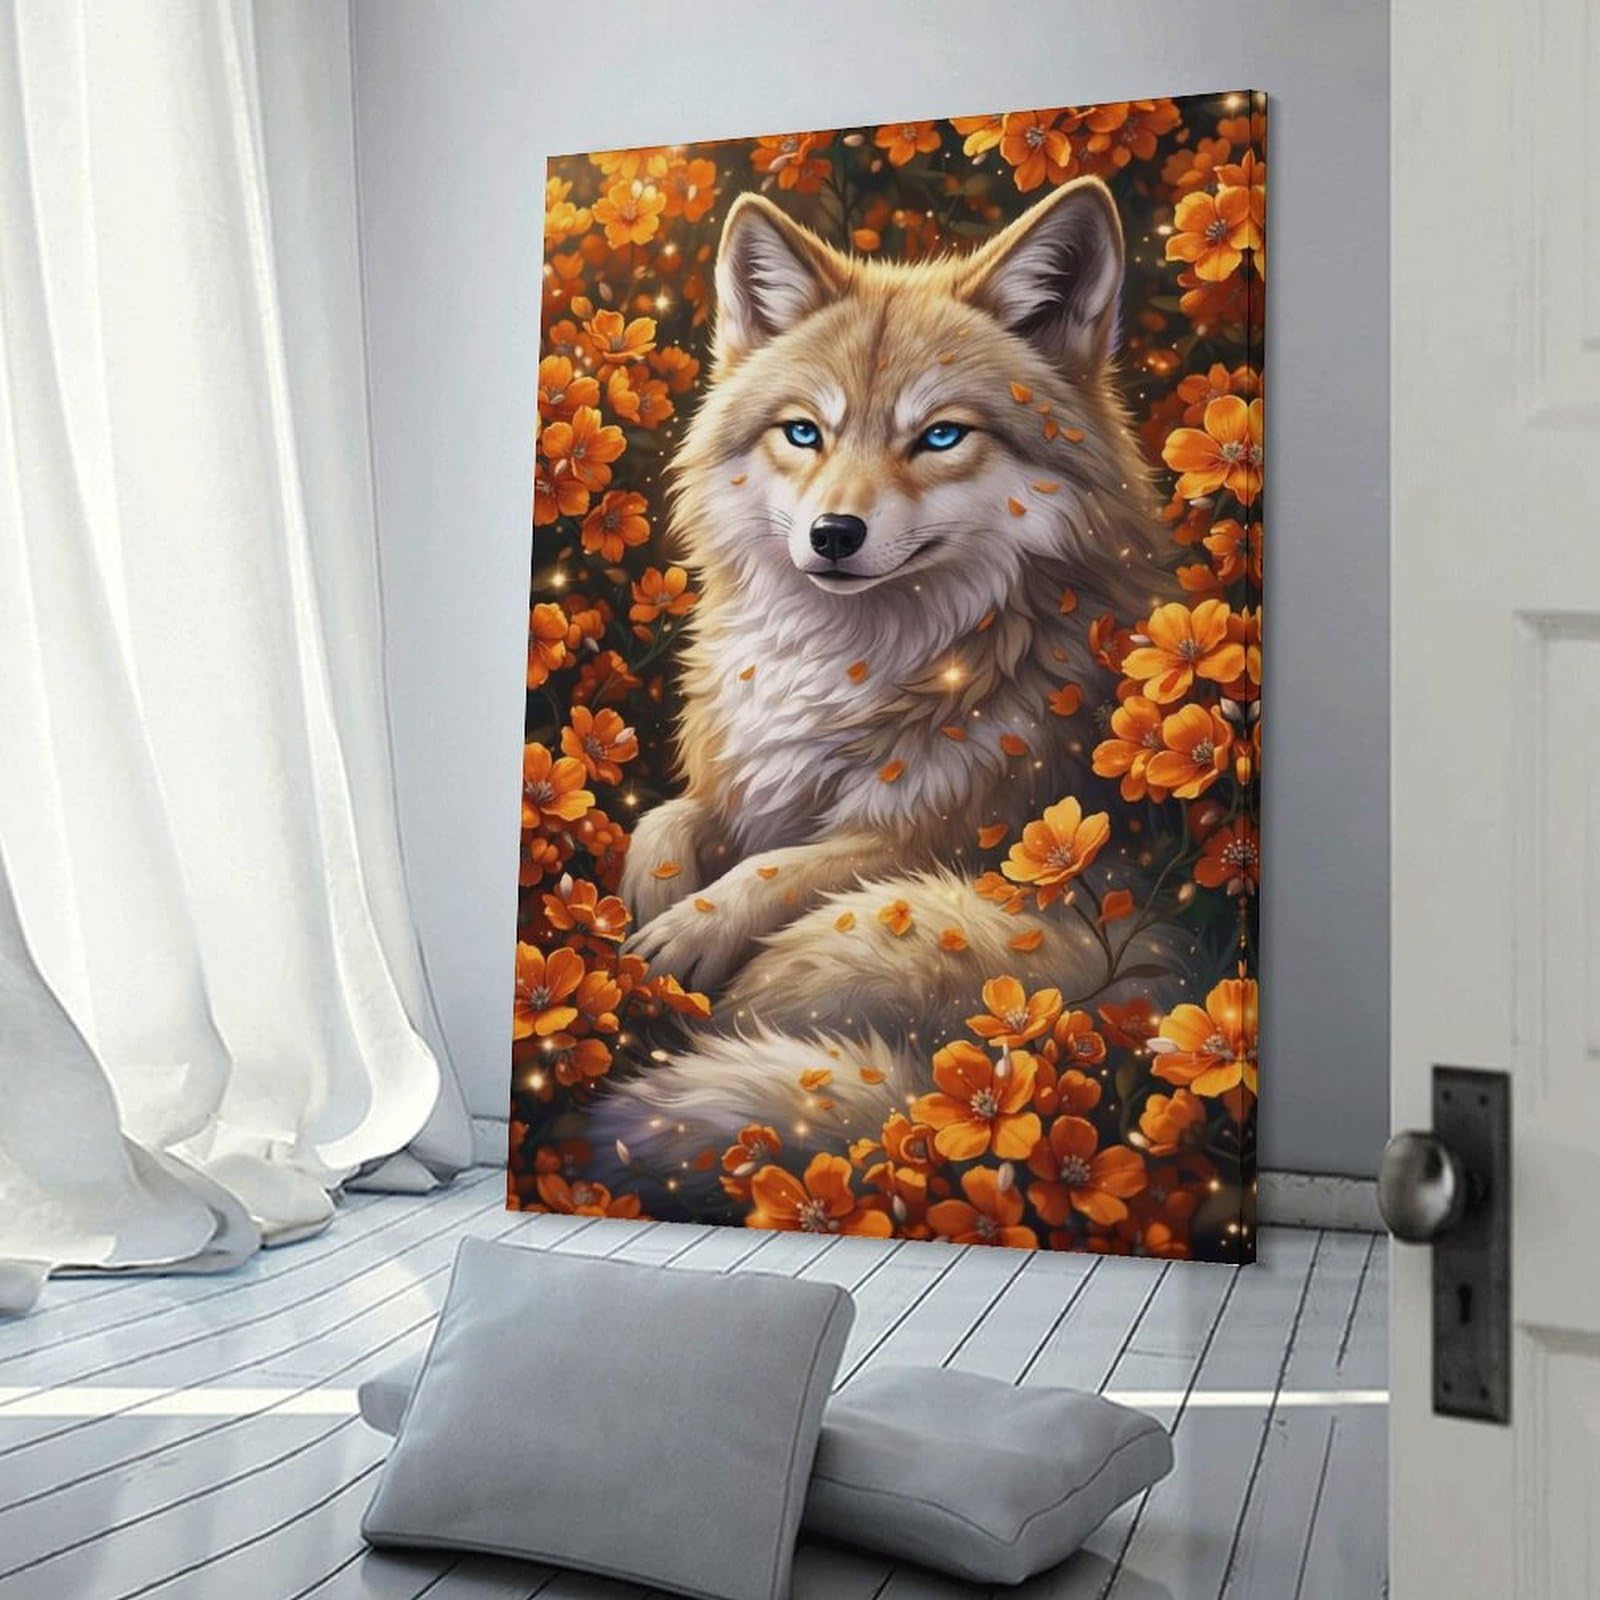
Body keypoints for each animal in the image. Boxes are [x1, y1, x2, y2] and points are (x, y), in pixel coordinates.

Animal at [596, 176, 1179, 1202]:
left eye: (939, 436)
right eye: (804, 432)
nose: (832, 534)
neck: (849, 666)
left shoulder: (933, 831)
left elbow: (788, 865)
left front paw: (685, 934)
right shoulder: (741, 785)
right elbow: (665, 822)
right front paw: (647, 898)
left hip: (880, 932)